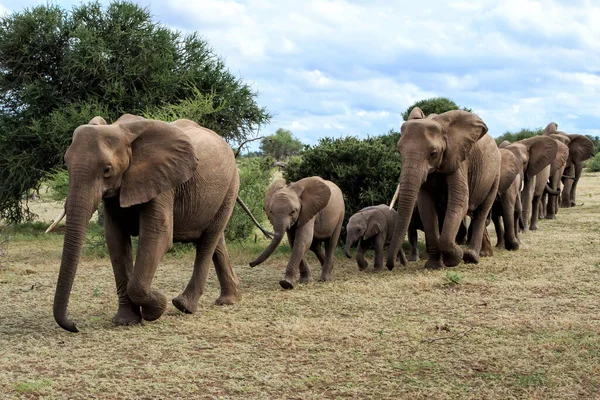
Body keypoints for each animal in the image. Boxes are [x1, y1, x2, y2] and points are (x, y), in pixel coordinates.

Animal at [49, 114, 268, 332]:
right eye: (66, 164)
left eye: (107, 170)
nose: (75, 326)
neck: (122, 131)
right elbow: (115, 240)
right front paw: (126, 321)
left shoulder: (162, 181)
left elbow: (158, 237)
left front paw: (155, 308)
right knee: (217, 242)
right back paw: (229, 300)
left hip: (230, 186)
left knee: (208, 241)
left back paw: (183, 305)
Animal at [384, 106, 502, 270]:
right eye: (399, 151)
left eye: (433, 153)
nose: (390, 266)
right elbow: (426, 207)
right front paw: (434, 265)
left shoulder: (458, 159)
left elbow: (459, 202)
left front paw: (454, 258)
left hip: (495, 173)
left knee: (481, 212)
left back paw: (471, 256)